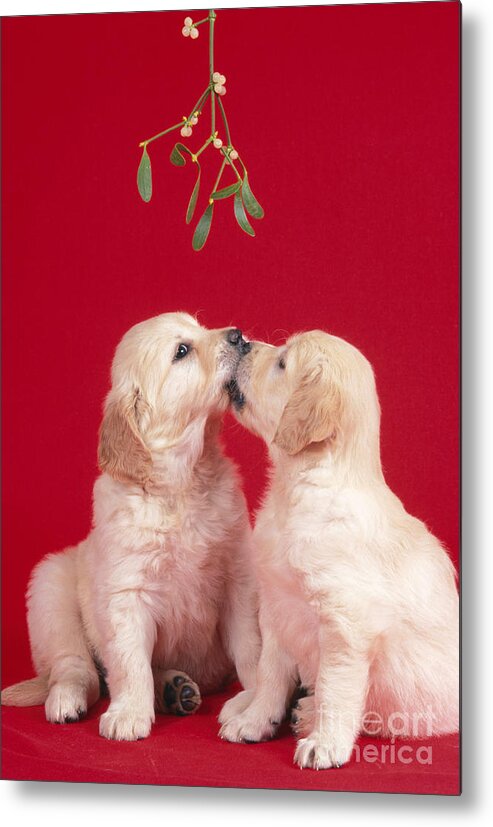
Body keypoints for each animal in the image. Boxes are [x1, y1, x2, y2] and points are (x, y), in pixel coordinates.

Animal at [1, 314, 260, 740]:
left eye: (200, 326)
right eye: (182, 351)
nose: (239, 336)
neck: (182, 484)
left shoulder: (238, 581)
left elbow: (252, 648)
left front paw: (258, 699)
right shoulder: (125, 593)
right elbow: (129, 662)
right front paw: (128, 714)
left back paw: (175, 689)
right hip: (50, 588)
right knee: (80, 670)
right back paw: (68, 698)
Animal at [219, 330, 458, 768]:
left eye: (283, 363)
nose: (240, 339)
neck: (299, 487)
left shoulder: (345, 624)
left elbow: (335, 687)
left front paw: (325, 743)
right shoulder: (277, 609)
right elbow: (270, 674)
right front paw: (255, 722)